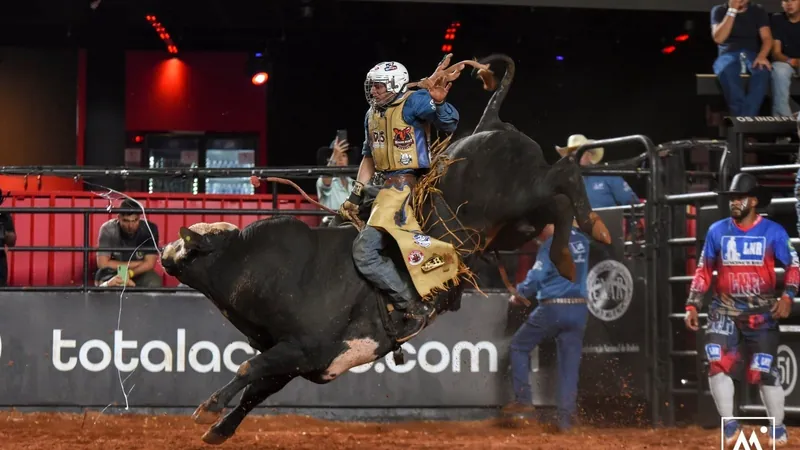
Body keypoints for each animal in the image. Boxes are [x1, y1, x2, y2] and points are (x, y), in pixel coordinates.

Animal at [161, 54, 612, 444]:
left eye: (193, 246)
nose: (166, 249)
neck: (255, 267)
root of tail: (492, 123)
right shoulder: (301, 358)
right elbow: (257, 388)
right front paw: (220, 428)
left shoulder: (302, 345)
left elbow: (247, 368)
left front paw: (208, 407)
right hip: (517, 226)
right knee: (557, 206)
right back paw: (569, 254)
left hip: (520, 196)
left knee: (564, 174)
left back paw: (594, 229)